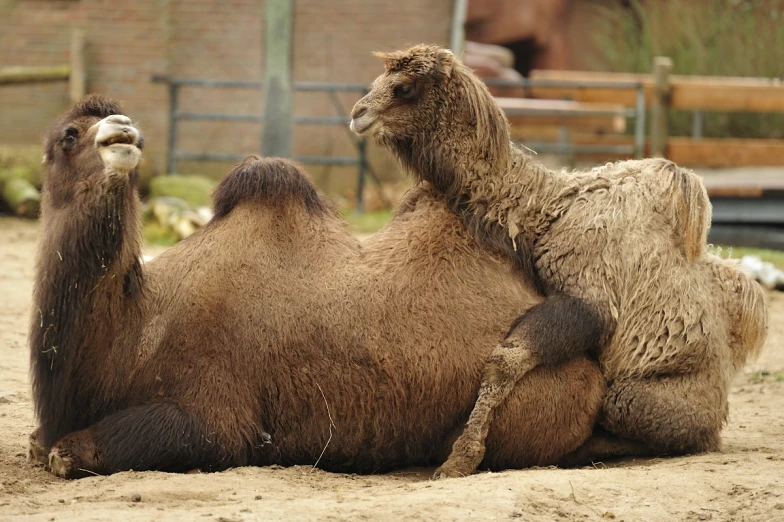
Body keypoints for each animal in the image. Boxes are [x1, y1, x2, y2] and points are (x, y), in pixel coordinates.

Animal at [29, 92, 608, 476]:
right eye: (68, 135)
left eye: (129, 131)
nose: (123, 131)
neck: (136, 330)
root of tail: (591, 367)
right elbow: (41, 441)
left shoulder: (215, 413)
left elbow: (71, 450)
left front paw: (67, 450)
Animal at [352, 44, 768, 476]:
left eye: (404, 87)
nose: (357, 114)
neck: (544, 210)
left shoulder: (587, 298)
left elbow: (504, 359)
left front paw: (460, 459)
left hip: (639, 398)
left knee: (649, 421)